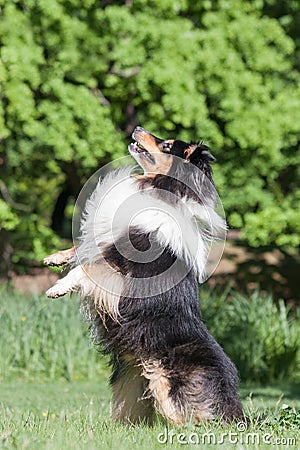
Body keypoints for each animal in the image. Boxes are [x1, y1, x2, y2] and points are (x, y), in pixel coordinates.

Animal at [44, 127, 244, 426]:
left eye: (168, 145)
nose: (138, 128)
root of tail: (231, 393)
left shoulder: (121, 268)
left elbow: (86, 269)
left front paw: (58, 288)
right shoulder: (110, 238)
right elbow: (84, 248)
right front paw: (55, 258)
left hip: (164, 380)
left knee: (187, 419)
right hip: (135, 378)